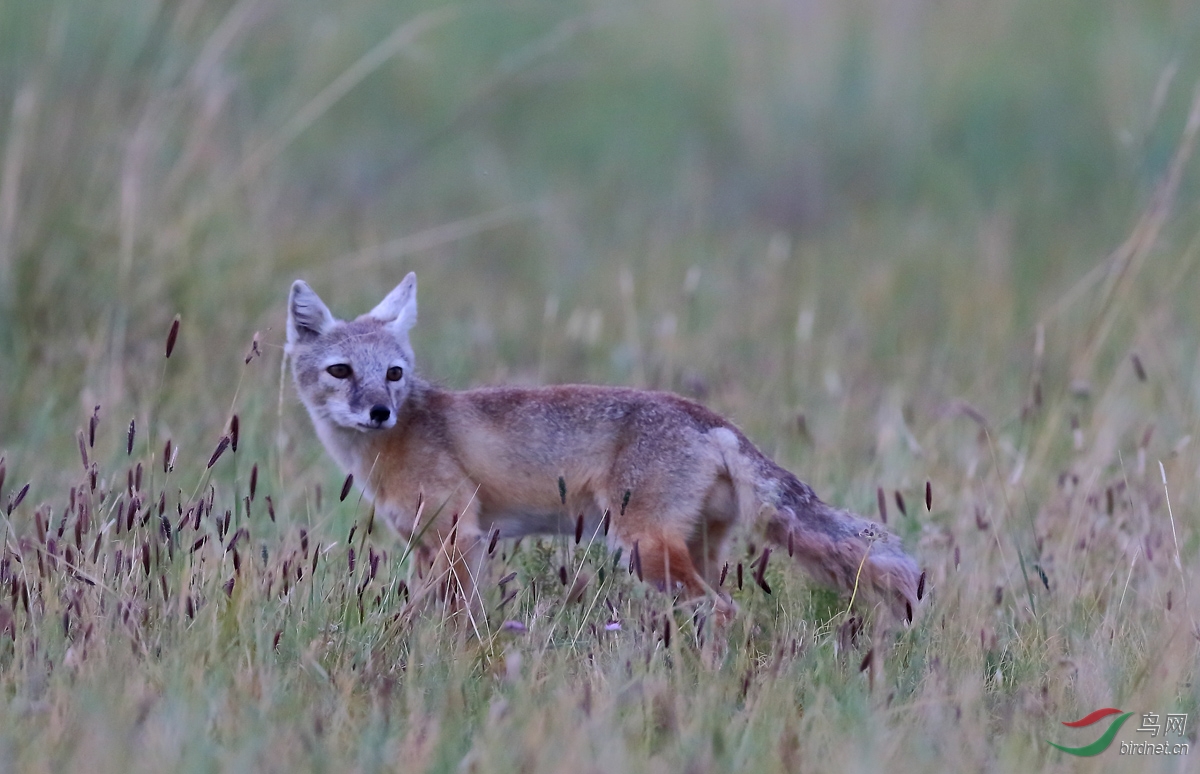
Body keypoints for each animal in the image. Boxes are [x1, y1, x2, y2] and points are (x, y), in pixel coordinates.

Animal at [285, 271, 921, 624]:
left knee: (722, 610)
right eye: (341, 370)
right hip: (690, 549)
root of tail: (708, 418)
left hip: (642, 547)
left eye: (393, 373)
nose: (380, 412)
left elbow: (446, 615)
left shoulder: (459, 536)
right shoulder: (426, 545)